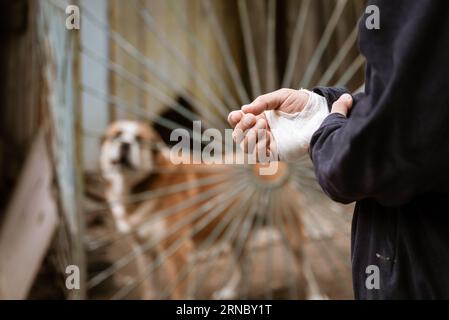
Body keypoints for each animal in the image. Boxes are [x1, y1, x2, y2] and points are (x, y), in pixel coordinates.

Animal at [100, 120, 320, 300]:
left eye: (140, 140)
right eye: (116, 135)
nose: (125, 145)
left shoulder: (178, 253)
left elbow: (179, 293)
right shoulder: (143, 251)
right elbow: (150, 291)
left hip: (290, 231)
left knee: (305, 267)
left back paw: (315, 295)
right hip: (235, 233)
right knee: (246, 265)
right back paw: (230, 292)